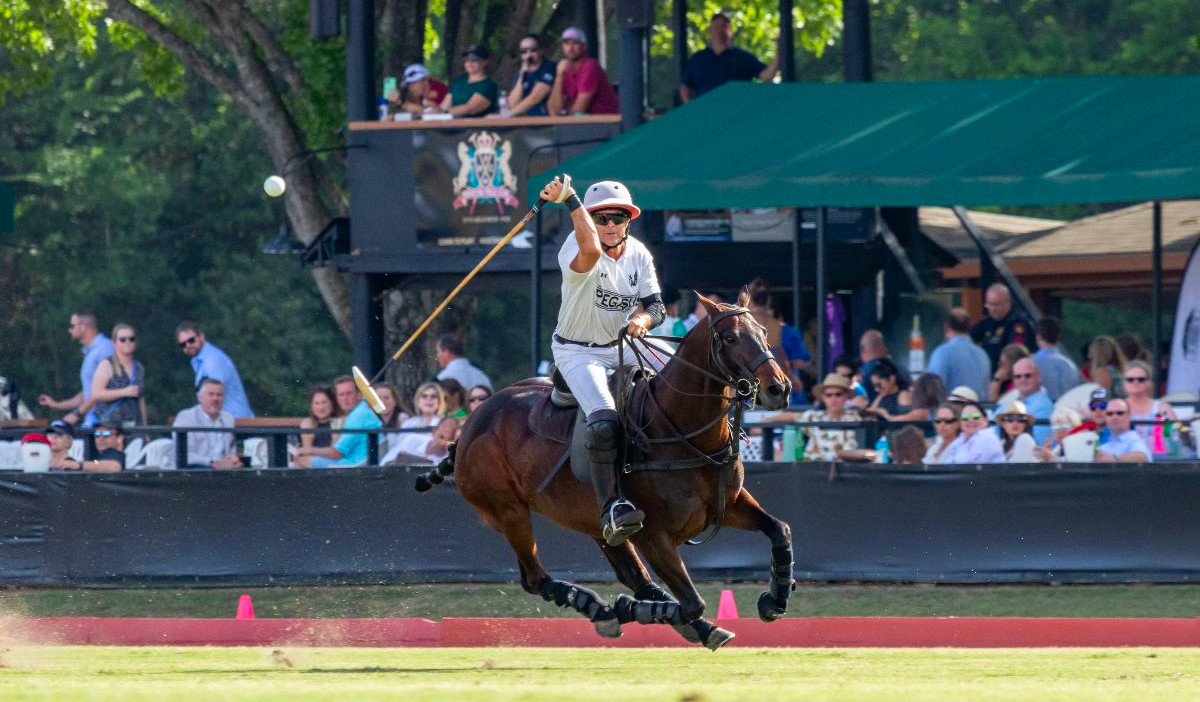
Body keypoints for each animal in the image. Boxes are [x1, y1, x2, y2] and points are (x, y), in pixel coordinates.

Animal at [420, 289, 796, 648]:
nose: (779, 388)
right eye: (730, 337)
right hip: (508, 510)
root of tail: (469, 426)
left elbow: (780, 529)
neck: (682, 431)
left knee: (631, 576)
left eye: (764, 331)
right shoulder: (653, 534)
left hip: (594, 522)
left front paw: (774, 601)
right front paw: (627, 608)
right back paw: (604, 609)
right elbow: (691, 602)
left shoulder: (728, 505)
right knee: (535, 577)